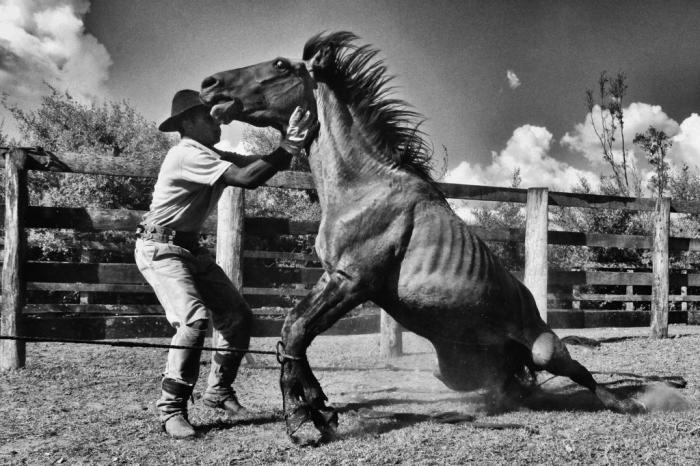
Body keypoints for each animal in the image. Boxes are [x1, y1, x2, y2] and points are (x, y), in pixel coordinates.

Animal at [200, 31, 644, 440]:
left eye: (280, 65)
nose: (209, 84)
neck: (363, 187)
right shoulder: (335, 278)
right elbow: (292, 333)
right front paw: (319, 409)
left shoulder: (351, 282)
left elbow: (294, 332)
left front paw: (302, 420)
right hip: (454, 368)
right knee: (507, 389)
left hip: (545, 350)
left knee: (576, 374)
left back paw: (630, 403)